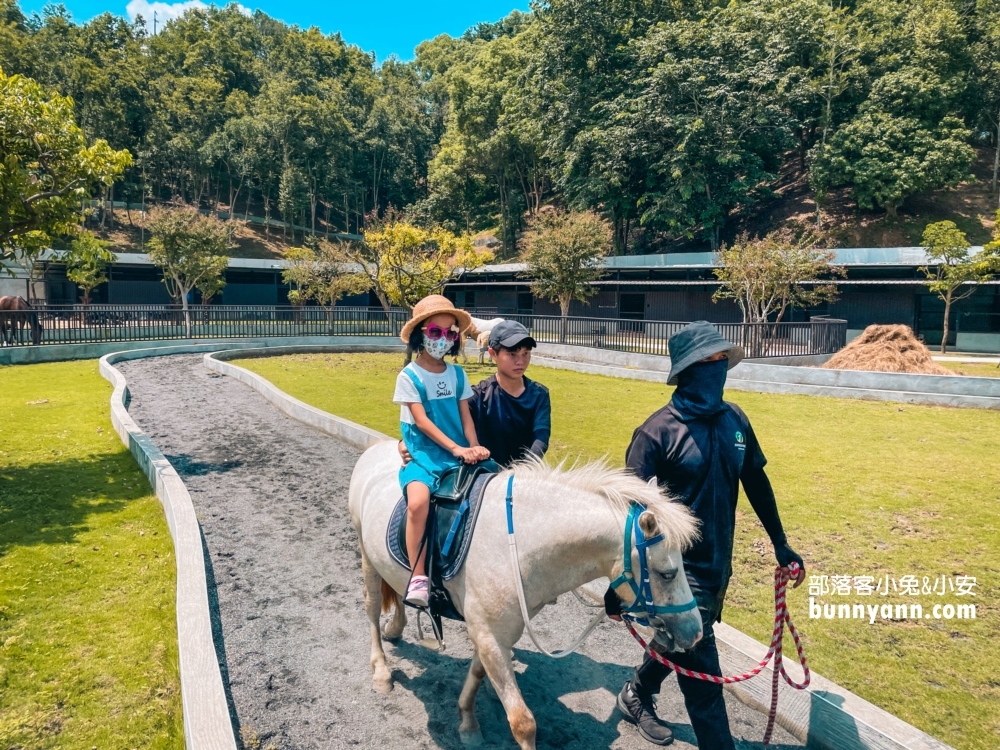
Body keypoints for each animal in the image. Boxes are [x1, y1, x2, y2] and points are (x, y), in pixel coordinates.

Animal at [352, 444, 704, 748]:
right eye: (667, 573)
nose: (696, 631)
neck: (521, 542)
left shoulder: (496, 634)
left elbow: (477, 674)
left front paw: (467, 721)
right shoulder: (490, 635)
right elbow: (523, 722)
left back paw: (396, 628)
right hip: (365, 552)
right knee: (372, 607)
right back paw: (381, 670)